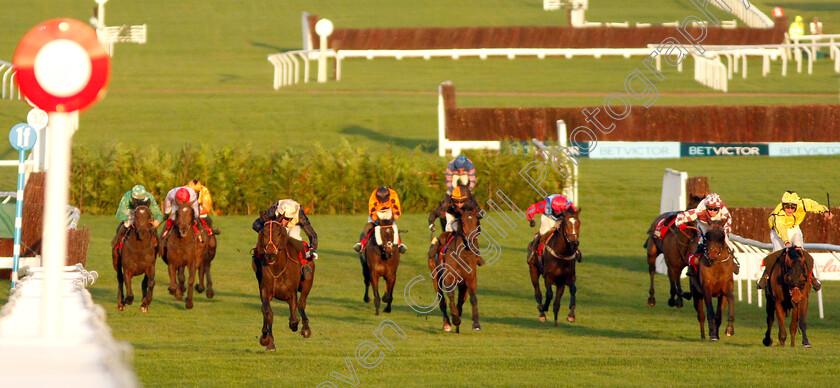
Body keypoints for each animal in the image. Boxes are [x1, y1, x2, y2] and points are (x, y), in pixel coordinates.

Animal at [253, 220, 316, 350]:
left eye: (278, 233)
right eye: (263, 233)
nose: (270, 255)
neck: (277, 269)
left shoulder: (291, 293)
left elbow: (293, 317)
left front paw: (296, 325)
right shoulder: (265, 291)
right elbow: (267, 312)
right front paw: (267, 340)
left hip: (307, 282)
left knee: (301, 304)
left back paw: (306, 328)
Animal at [434, 206, 480, 334]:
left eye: (477, 222)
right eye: (463, 222)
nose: (471, 241)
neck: (462, 255)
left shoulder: (470, 278)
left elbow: (473, 298)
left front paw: (476, 323)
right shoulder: (449, 278)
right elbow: (450, 297)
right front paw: (455, 319)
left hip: (462, 285)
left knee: (461, 301)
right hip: (436, 277)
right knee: (442, 302)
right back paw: (447, 324)